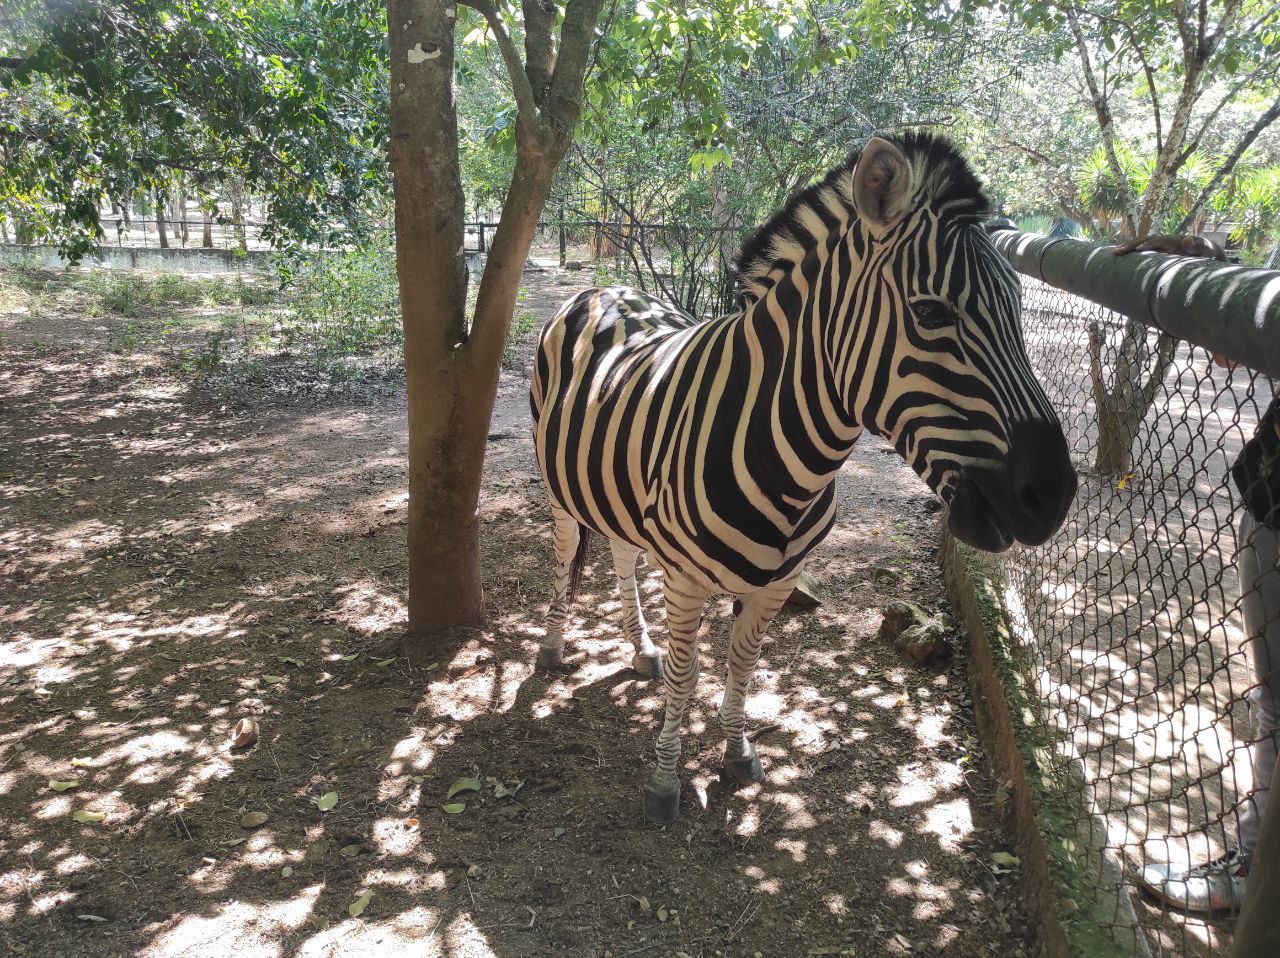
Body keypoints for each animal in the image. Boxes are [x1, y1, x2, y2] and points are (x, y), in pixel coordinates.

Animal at [524, 134, 1075, 824]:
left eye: (1022, 309)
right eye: (930, 312)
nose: (1053, 495)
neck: (784, 456)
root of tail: (604, 286)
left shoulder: (779, 582)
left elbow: (741, 662)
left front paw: (737, 753)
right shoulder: (686, 577)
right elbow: (687, 673)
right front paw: (664, 782)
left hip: (619, 491)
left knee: (622, 554)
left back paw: (639, 647)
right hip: (558, 486)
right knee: (566, 552)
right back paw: (552, 646)